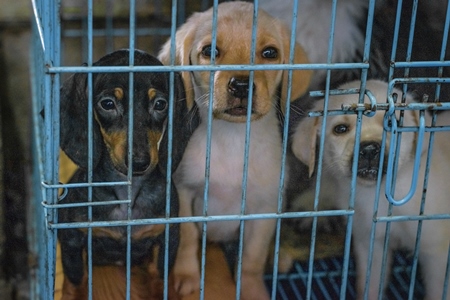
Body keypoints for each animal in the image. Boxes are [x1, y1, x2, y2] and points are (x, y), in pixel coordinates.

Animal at [57, 49, 198, 296]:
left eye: (160, 104)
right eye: (107, 103)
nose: (139, 162)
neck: (126, 194)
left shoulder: (167, 238)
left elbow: (160, 277)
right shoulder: (72, 238)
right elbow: (75, 280)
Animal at [292, 79, 450, 300]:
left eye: (393, 124)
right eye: (340, 129)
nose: (369, 150)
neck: (380, 196)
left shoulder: (437, 254)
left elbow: (437, 291)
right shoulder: (369, 244)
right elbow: (369, 285)